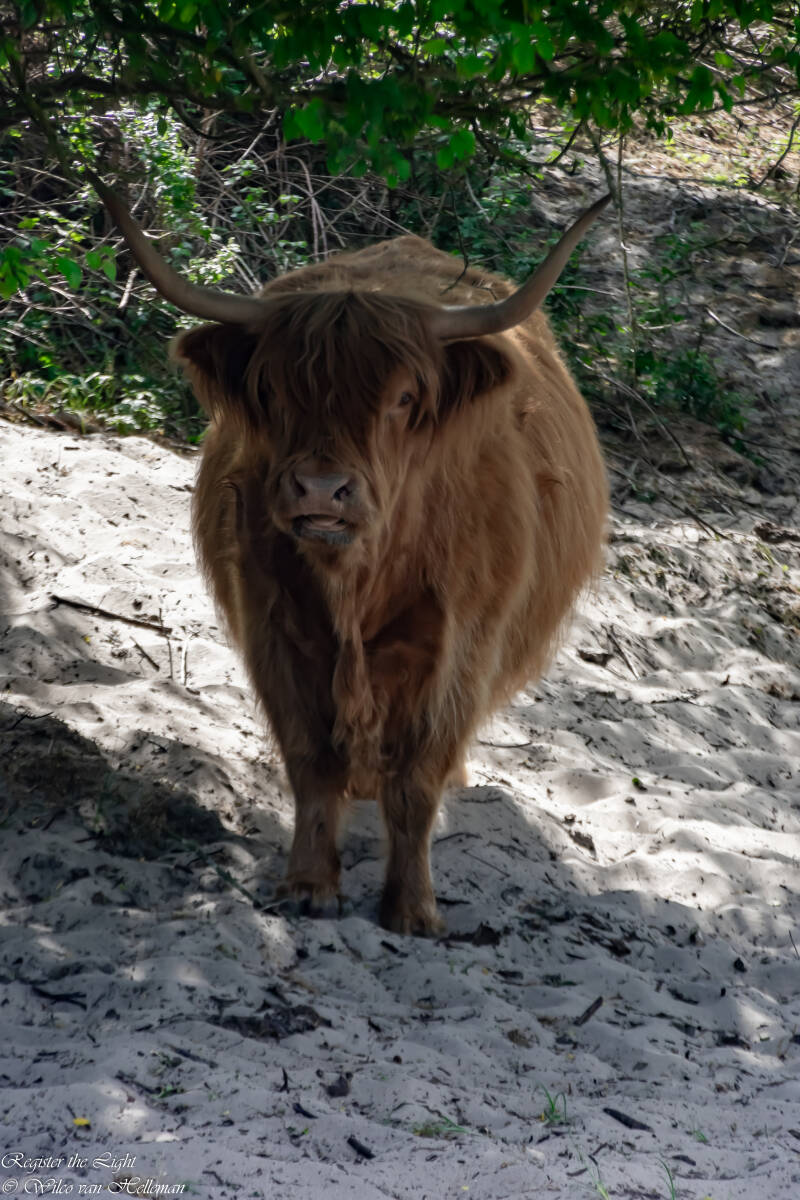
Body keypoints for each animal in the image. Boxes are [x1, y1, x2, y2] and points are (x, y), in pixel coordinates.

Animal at [92, 174, 609, 935]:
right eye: (271, 389)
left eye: (404, 397)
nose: (320, 489)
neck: (356, 582)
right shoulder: (272, 625)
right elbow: (311, 760)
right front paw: (310, 885)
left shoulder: (460, 646)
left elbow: (417, 778)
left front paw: (412, 908)